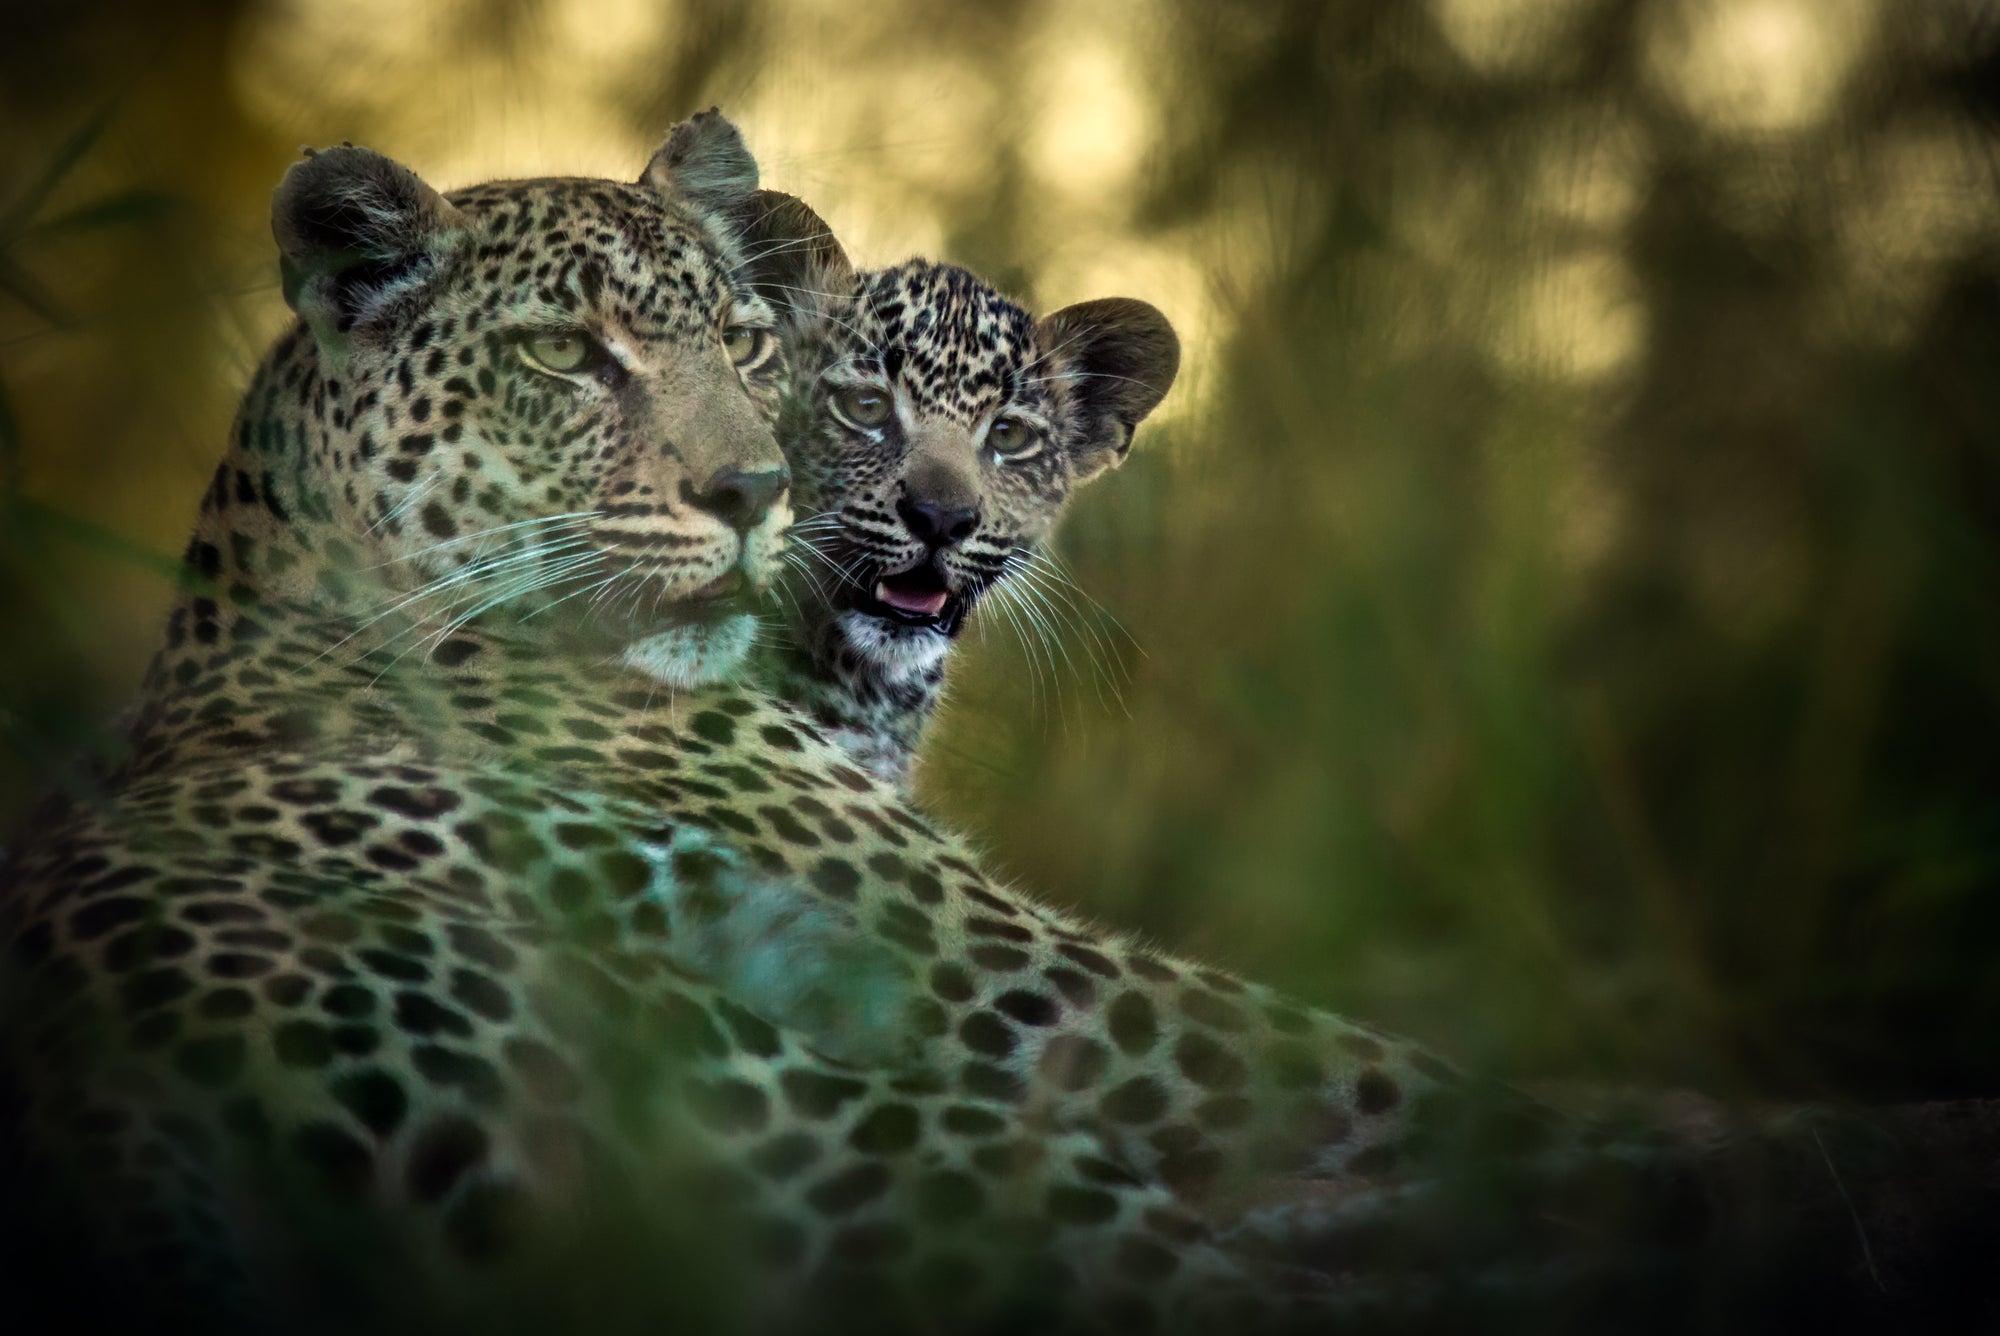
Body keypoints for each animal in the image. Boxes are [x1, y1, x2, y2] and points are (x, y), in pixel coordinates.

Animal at [0, 111, 1689, 1333]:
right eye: (561, 353)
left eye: (745, 344)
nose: (760, 490)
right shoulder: (1009, 969)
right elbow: (1400, 1083)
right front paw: (1713, 1148)